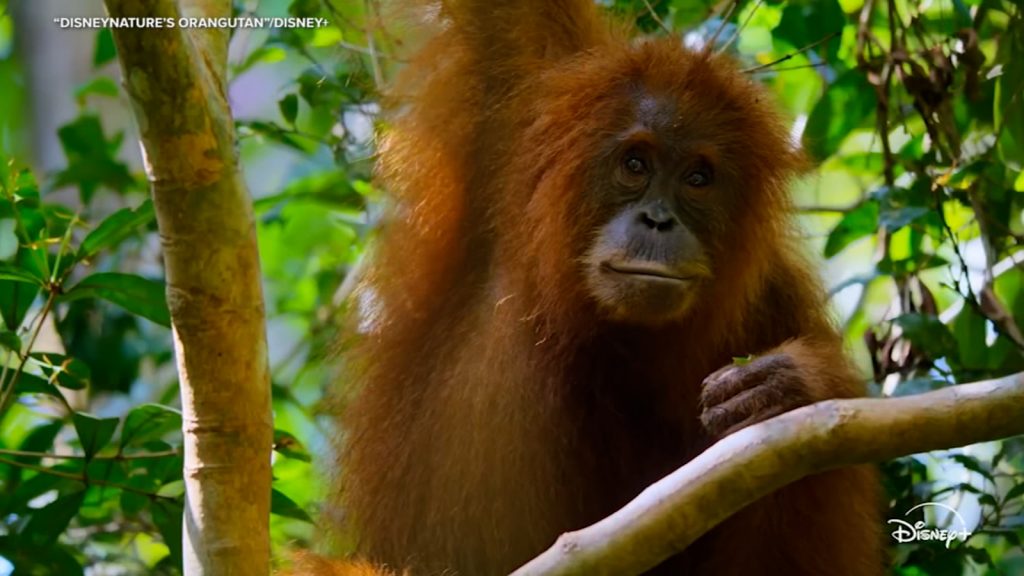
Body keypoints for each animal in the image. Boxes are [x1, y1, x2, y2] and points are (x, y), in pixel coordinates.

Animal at [318, 1, 884, 574]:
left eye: (698, 178)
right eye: (635, 163)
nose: (658, 220)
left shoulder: (774, 303)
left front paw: (789, 385)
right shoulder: (519, 103)